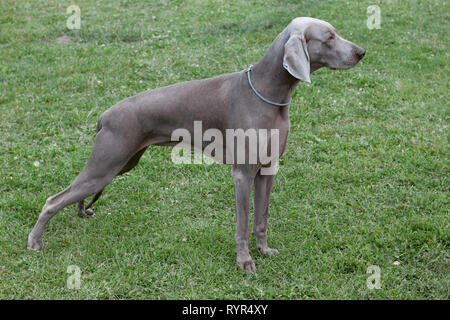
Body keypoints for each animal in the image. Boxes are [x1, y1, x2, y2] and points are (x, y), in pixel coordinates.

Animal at [28, 17, 366, 272]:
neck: (269, 93)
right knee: (53, 200)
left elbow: (261, 219)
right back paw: (35, 242)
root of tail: (105, 114)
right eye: (329, 37)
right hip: (106, 165)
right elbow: (242, 223)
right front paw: (245, 262)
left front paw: (264, 251)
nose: (362, 52)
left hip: (122, 164)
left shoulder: (268, 170)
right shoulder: (242, 174)